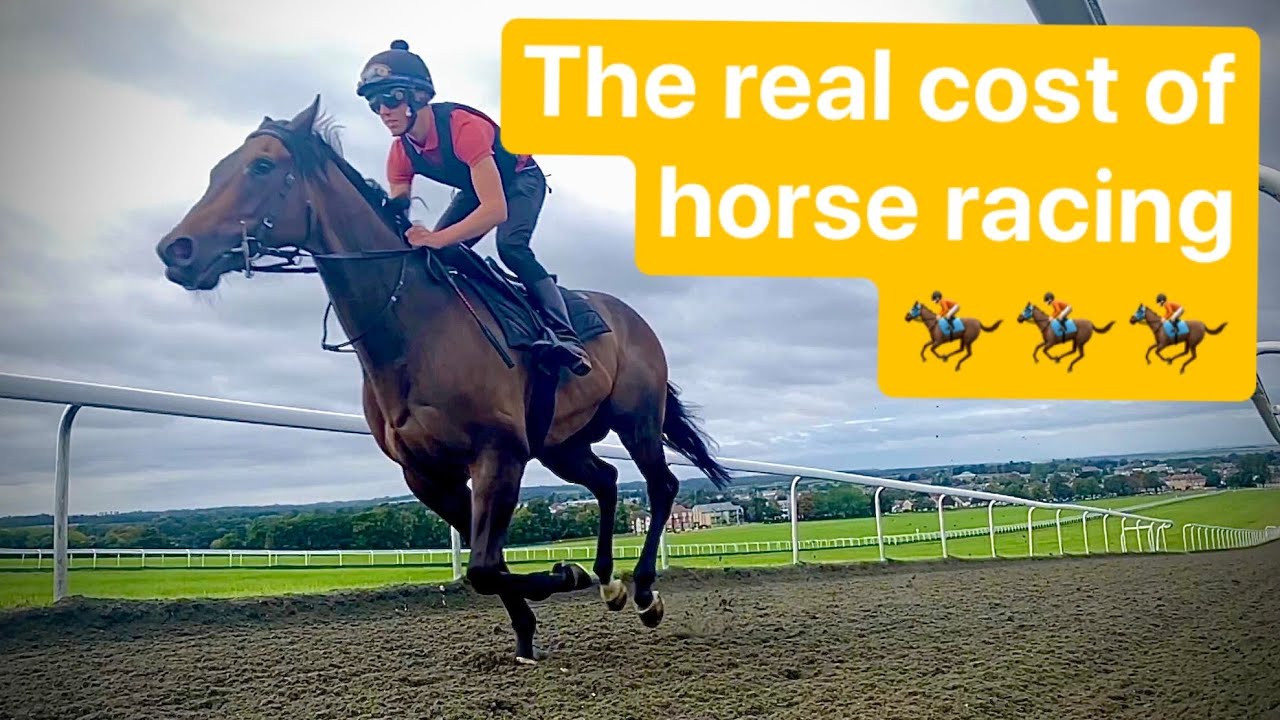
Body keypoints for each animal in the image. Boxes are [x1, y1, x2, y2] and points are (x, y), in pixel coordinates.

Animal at [153, 96, 733, 664]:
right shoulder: (426, 474)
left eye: (262, 166)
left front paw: (563, 575)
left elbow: (484, 565)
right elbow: (487, 566)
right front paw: (531, 628)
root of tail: (630, 315)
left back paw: (643, 590)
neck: (413, 329)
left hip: (636, 419)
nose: (175, 250)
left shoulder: (499, 454)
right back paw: (609, 581)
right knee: (608, 481)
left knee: (660, 485)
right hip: (560, 442)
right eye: (216, 169)